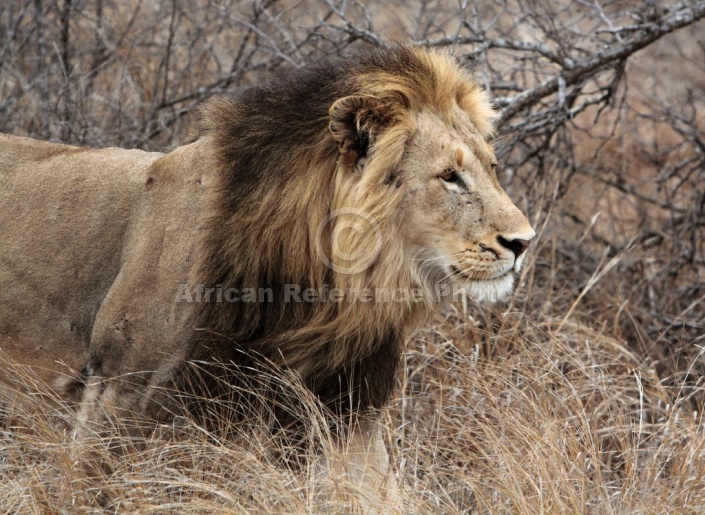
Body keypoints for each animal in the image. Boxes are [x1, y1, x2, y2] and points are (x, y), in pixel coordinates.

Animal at [0, 47, 528, 508]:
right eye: (450, 176)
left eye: (492, 168)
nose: (523, 242)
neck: (320, 297)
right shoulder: (117, 387)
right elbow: (86, 492)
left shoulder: (345, 405)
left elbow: (375, 492)